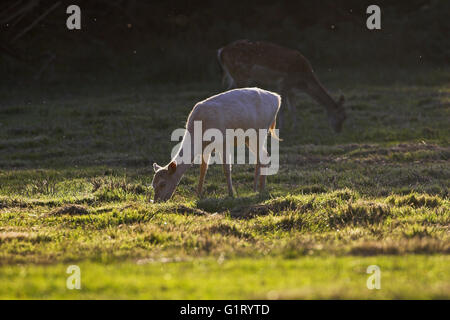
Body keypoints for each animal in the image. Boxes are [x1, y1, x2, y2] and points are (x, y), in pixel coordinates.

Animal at [151, 87, 280, 202]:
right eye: (153, 184)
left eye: (163, 184)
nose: (157, 201)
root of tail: (277, 98)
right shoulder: (205, 148)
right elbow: (203, 170)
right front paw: (198, 195)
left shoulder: (223, 141)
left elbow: (226, 168)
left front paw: (231, 194)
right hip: (250, 137)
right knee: (263, 156)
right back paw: (257, 189)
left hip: (262, 130)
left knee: (263, 156)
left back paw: (259, 189)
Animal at [216, 39, 346, 132]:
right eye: (342, 116)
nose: (338, 131)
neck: (303, 81)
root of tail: (221, 51)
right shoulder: (284, 82)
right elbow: (283, 107)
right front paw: (282, 128)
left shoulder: (292, 89)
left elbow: (293, 108)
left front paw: (295, 128)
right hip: (240, 75)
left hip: (234, 76)